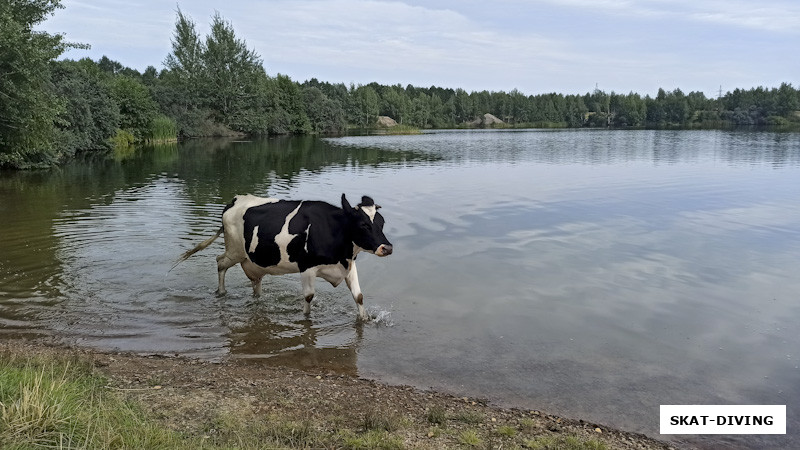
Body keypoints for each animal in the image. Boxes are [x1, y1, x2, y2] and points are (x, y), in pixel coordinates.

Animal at [173, 193, 394, 320]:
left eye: (382, 222)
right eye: (363, 224)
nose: (387, 248)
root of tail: (235, 200)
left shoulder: (348, 265)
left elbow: (359, 296)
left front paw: (365, 319)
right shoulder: (307, 267)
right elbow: (309, 297)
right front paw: (306, 318)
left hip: (251, 260)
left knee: (255, 281)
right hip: (234, 250)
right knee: (220, 262)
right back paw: (221, 292)